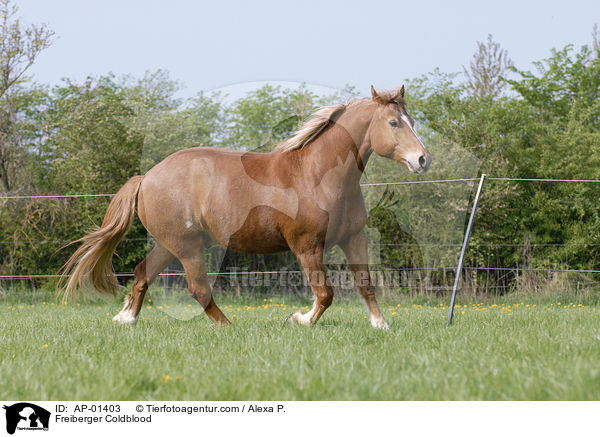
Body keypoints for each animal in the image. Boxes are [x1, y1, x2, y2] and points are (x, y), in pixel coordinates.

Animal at [61, 85, 432, 328]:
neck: (317, 175)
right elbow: (325, 293)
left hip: (169, 244)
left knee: (142, 275)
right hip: (187, 246)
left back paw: (125, 319)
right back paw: (228, 327)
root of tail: (147, 176)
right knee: (199, 289)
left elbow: (365, 284)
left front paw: (381, 326)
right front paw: (299, 319)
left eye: (411, 120)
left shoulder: (353, 238)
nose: (423, 159)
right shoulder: (306, 246)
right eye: (394, 123)